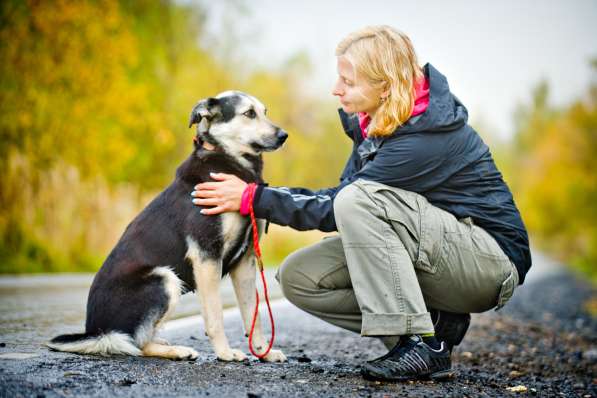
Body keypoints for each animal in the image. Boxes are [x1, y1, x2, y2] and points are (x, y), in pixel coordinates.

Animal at [46, 91, 286, 364]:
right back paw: (177, 351)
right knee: (137, 344)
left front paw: (262, 351)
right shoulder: (206, 255)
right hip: (165, 278)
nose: (284, 136)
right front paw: (225, 353)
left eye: (264, 111)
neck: (227, 161)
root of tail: (96, 332)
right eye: (249, 113)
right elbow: (215, 315)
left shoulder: (245, 259)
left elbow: (253, 313)